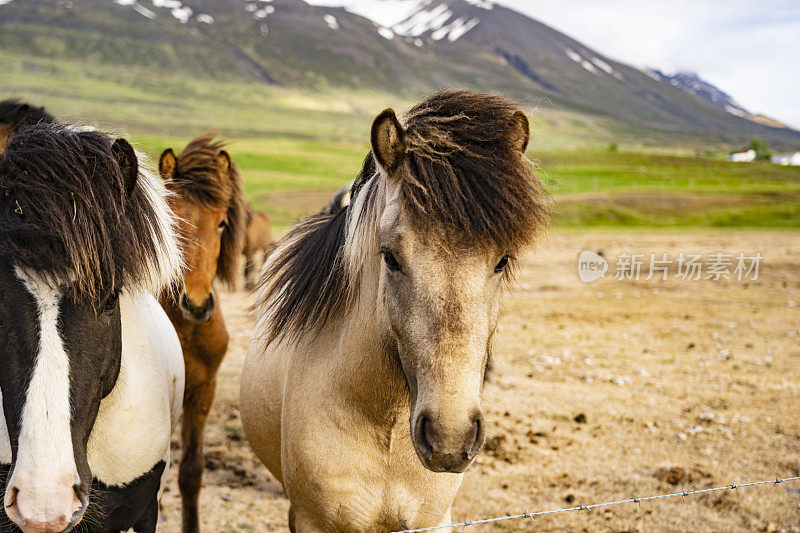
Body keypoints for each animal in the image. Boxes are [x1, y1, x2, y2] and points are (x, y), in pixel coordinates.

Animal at [241, 89, 548, 528]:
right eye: (389, 257)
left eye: (502, 261)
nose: (449, 438)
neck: (383, 422)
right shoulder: (312, 521)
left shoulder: (433, 521)